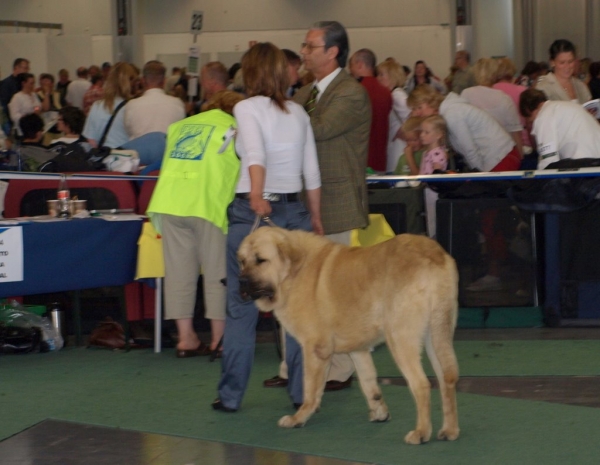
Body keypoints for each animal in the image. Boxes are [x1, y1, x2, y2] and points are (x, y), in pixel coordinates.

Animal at [238, 227, 460, 444]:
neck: (293, 273)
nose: (241, 282)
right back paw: (449, 430)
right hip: (436, 337)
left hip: (400, 339)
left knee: (422, 385)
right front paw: (380, 413)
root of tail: (434, 255)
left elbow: (310, 389)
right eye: (242, 261)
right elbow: (368, 382)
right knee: (447, 379)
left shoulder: (315, 349)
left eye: (261, 260)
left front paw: (298, 418)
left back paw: (421, 432)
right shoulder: (358, 349)